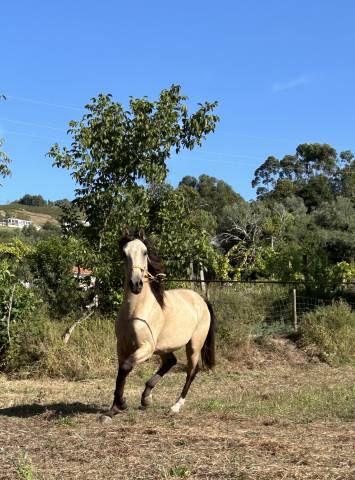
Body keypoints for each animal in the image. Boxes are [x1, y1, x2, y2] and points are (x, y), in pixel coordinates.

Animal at [101, 228, 217, 420]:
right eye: (124, 253)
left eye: (145, 252)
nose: (136, 284)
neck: (135, 311)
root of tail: (200, 299)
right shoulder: (122, 347)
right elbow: (121, 372)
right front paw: (116, 406)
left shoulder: (146, 348)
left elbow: (125, 367)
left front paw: (118, 405)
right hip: (164, 347)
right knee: (170, 361)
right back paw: (146, 397)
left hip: (193, 345)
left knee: (192, 371)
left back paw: (175, 406)